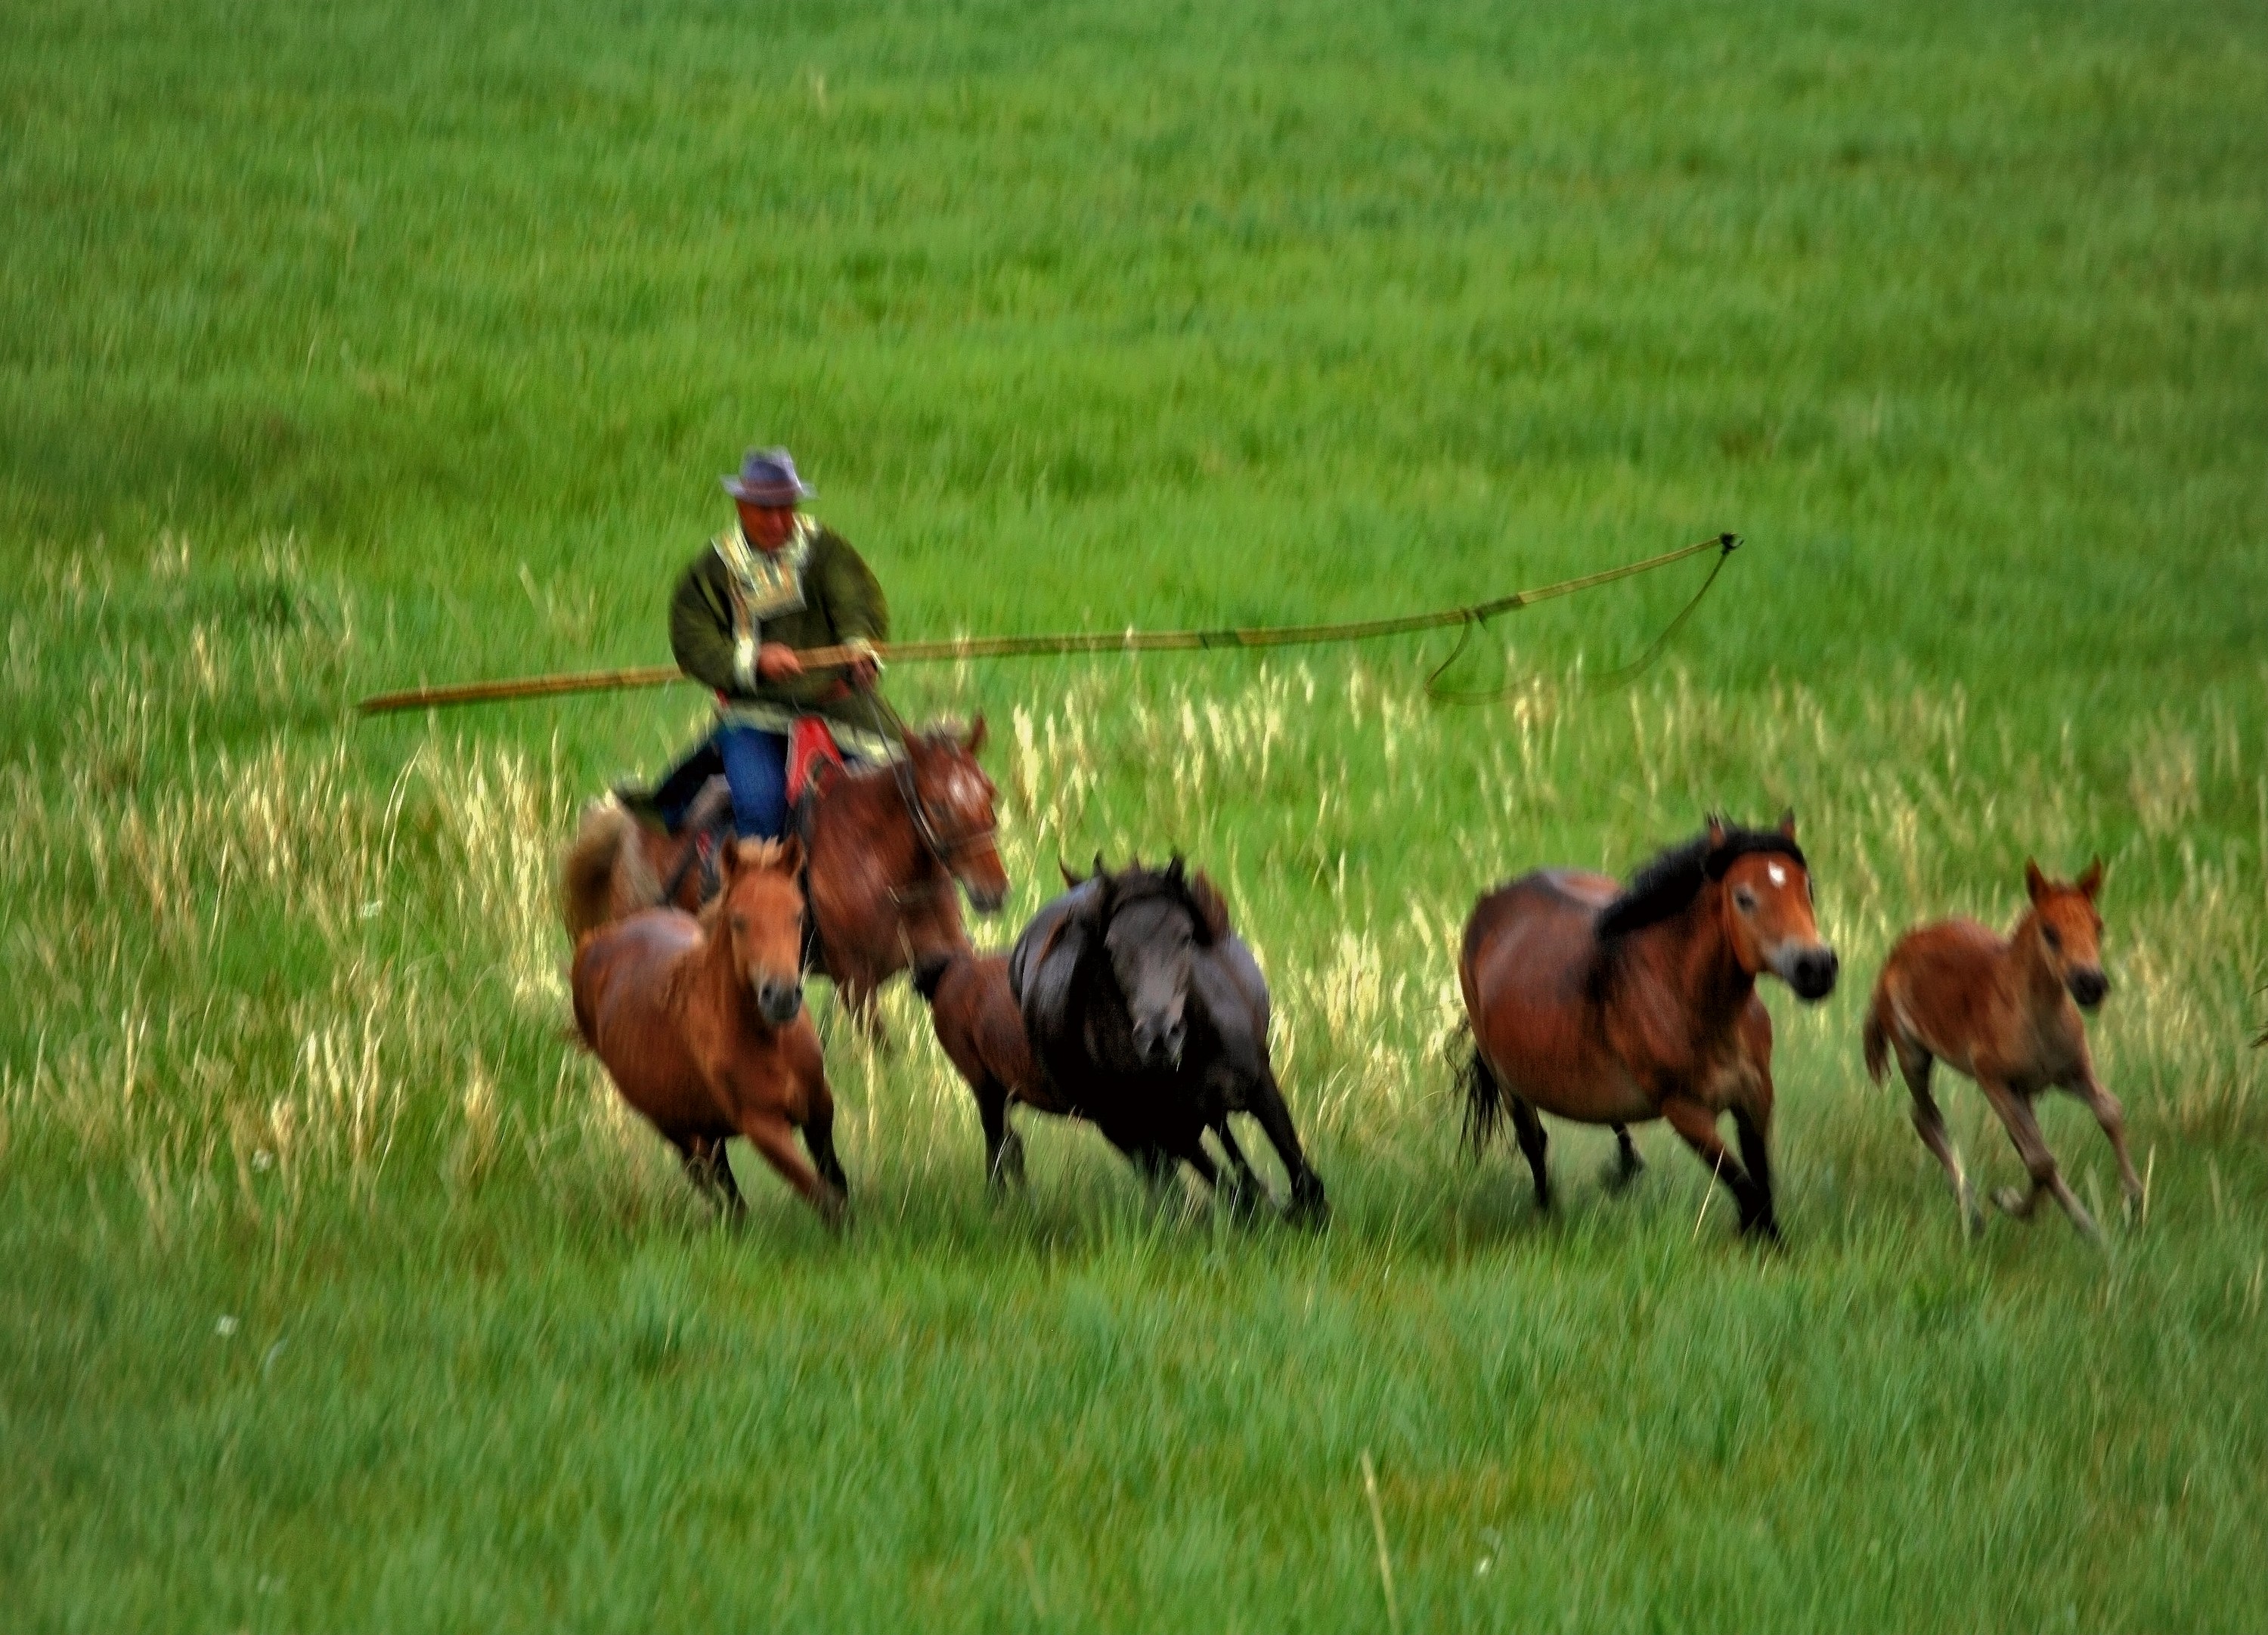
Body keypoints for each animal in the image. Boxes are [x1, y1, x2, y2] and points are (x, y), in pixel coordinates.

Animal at [560, 717, 1012, 1034]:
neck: (882, 865)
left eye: (990, 793)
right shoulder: (856, 984)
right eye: (938, 806)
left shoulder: (947, 955)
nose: (994, 892)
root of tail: (628, 831)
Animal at [572, 835, 848, 1215]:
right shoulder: (764, 1128)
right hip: (679, 1130)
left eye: (797, 915)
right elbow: (823, 1198)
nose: (780, 997)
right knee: (717, 1188)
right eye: (738, 920)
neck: (768, 1042)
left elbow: (836, 1181)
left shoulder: (819, 1105)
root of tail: (599, 940)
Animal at [1452, 816, 1842, 1234]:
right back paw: (1548, 1216)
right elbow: (1749, 1193)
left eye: (1807, 887)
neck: (1690, 1001)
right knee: (1534, 1144)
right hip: (1511, 1087)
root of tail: (1492, 901)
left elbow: (1761, 1187)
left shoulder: (1756, 1097)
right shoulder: (1687, 1114)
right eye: (1743, 898)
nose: (1816, 967)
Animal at [1869, 853, 2132, 1234]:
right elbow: (2040, 1160)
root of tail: (1896, 952)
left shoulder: (2070, 1072)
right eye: (2049, 931)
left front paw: (2134, 1199)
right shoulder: (1992, 1079)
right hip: (1914, 1056)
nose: (2091, 984)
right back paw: (1973, 1211)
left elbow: (2109, 1112)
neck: (2036, 1021)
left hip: (2022, 1090)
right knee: (1926, 1118)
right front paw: (2011, 1202)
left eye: (2098, 927)